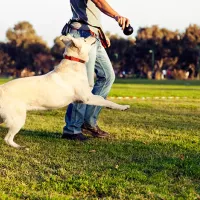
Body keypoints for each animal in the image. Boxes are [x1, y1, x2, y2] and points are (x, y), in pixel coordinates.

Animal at [0, 34, 130, 148]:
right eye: (84, 39)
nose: (95, 34)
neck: (74, 62)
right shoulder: (88, 97)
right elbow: (105, 100)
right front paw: (122, 107)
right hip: (18, 119)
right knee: (8, 139)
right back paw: (19, 147)